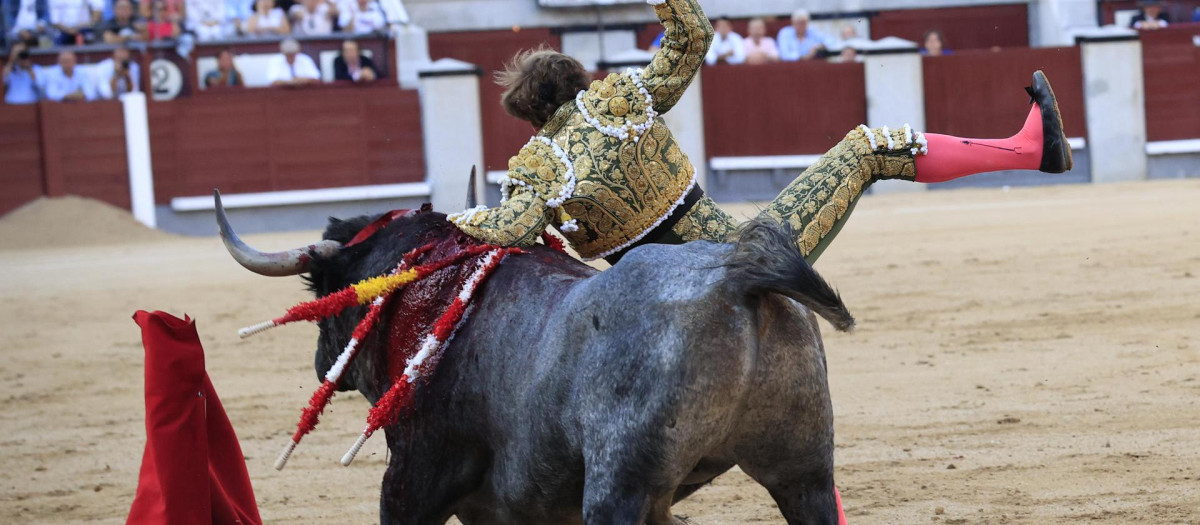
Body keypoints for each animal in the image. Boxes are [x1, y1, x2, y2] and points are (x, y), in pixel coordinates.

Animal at [216, 186, 854, 522]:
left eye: (320, 289)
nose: (322, 361)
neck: (437, 290)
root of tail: (736, 278)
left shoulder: (414, 473)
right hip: (805, 473)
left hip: (618, 484)